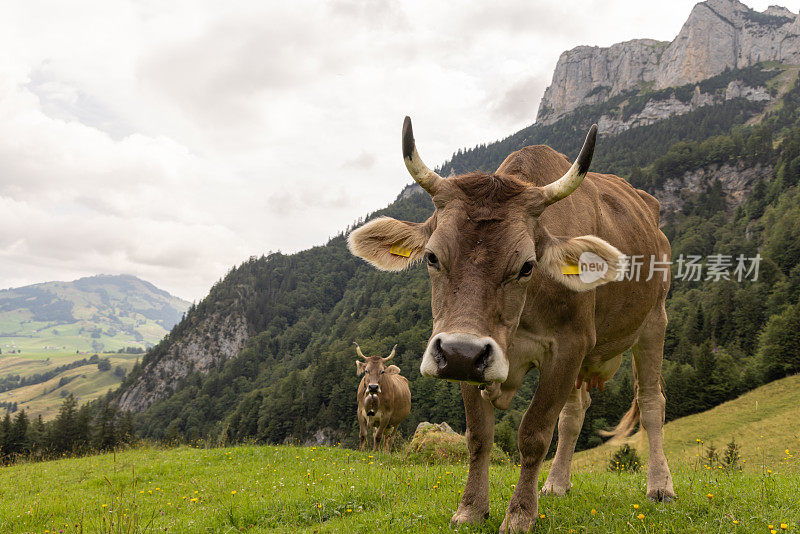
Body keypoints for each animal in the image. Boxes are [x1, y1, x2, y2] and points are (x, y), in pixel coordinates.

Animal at [350, 119, 676, 532]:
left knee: (651, 403)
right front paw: (471, 508)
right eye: (432, 257)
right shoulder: (470, 354)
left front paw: (520, 513)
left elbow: (534, 432)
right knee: (574, 414)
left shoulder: (568, 346)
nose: (460, 353)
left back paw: (660, 486)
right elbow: (479, 435)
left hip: (654, 320)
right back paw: (556, 483)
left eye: (526, 265)